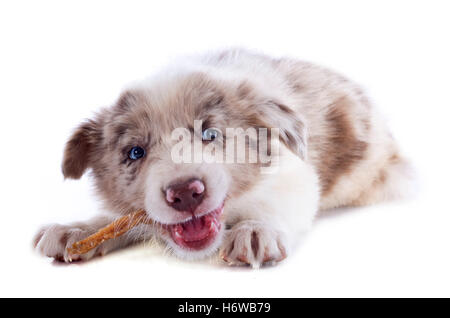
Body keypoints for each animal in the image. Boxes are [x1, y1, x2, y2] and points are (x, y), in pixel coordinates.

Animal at [33, 48, 414, 266]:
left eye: (210, 135)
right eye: (135, 152)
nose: (185, 193)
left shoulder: (294, 170)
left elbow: (279, 200)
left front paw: (255, 229)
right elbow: (120, 219)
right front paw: (79, 229)